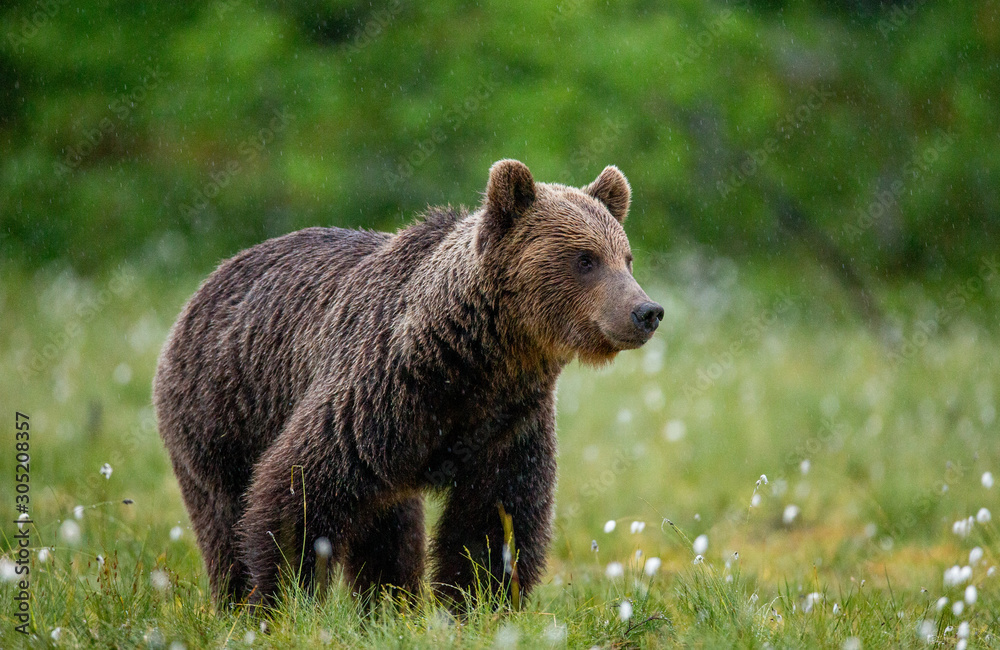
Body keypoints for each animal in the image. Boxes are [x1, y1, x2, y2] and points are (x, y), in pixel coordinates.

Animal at [150, 159, 664, 604]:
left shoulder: (510, 421)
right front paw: (283, 597)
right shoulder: (378, 394)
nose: (646, 311)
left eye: (627, 257)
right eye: (585, 259)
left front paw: (478, 601)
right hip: (220, 413)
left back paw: (387, 604)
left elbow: (494, 518)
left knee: (390, 532)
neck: (474, 361)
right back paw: (236, 600)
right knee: (223, 517)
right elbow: (297, 492)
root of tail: (207, 282)